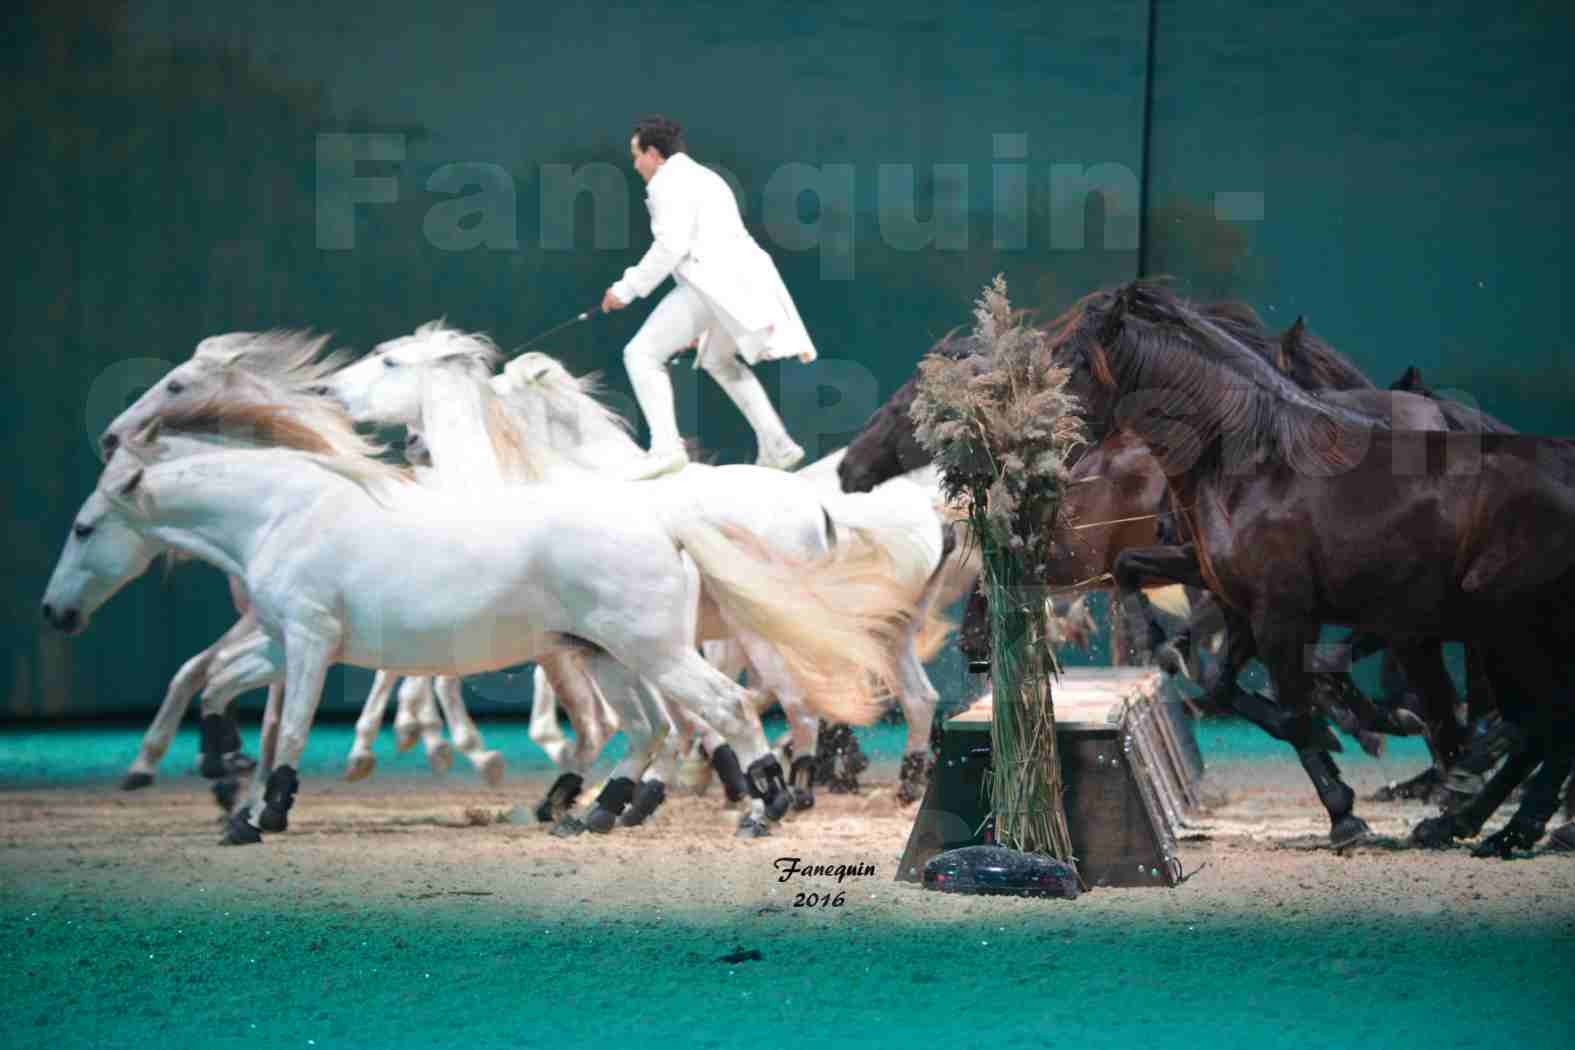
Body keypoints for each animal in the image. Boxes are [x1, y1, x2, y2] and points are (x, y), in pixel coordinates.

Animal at [46, 402, 913, 843]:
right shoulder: (278, 641)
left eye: (84, 528)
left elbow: (286, 728)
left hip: (657, 651)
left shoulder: (311, 642)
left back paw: (763, 807)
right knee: (651, 730)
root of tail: (661, 520)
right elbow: (215, 687)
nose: (55, 613)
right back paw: (596, 812)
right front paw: (227, 776)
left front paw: (260, 813)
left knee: (728, 711)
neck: (285, 514)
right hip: (608, 655)